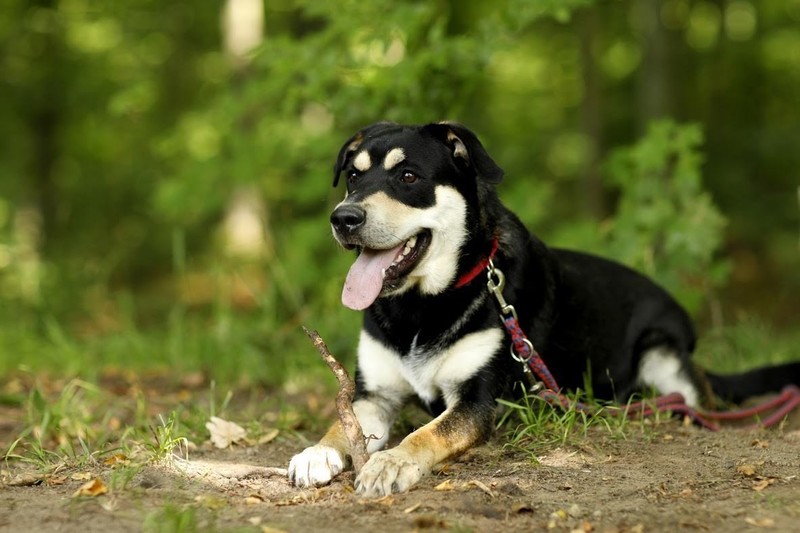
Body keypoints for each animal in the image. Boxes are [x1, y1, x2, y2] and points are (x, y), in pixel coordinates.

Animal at [288, 120, 800, 494]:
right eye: (354, 176)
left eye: (408, 176)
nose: (343, 218)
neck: (421, 305)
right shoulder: (375, 394)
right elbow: (343, 423)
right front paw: (317, 452)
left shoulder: (477, 401)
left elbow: (428, 433)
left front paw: (391, 462)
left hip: (665, 354)